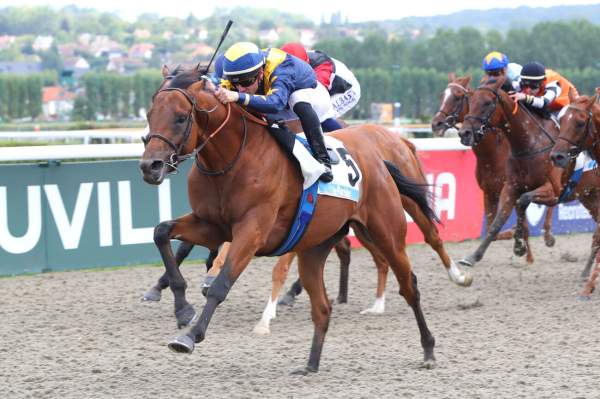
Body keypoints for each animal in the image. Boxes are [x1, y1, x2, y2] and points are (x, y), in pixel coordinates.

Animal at [140, 73, 438, 374]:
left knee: (409, 285)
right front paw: (182, 309)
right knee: (322, 307)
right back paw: (311, 365)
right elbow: (161, 233)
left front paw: (189, 336)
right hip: (315, 249)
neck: (232, 161)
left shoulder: (252, 232)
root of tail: (378, 160)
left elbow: (221, 284)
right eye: (150, 115)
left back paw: (428, 349)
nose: (150, 166)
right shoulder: (211, 226)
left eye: (180, 118)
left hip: (387, 233)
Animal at [428, 74, 556, 262]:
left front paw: (525, 251)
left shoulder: (510, 188)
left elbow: (520, 222)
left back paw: (548, 235)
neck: (493, 154)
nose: (436, 123)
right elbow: (492, 227)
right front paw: (519, 244)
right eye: (441, 96)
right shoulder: (490, 191)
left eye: (458, 97)